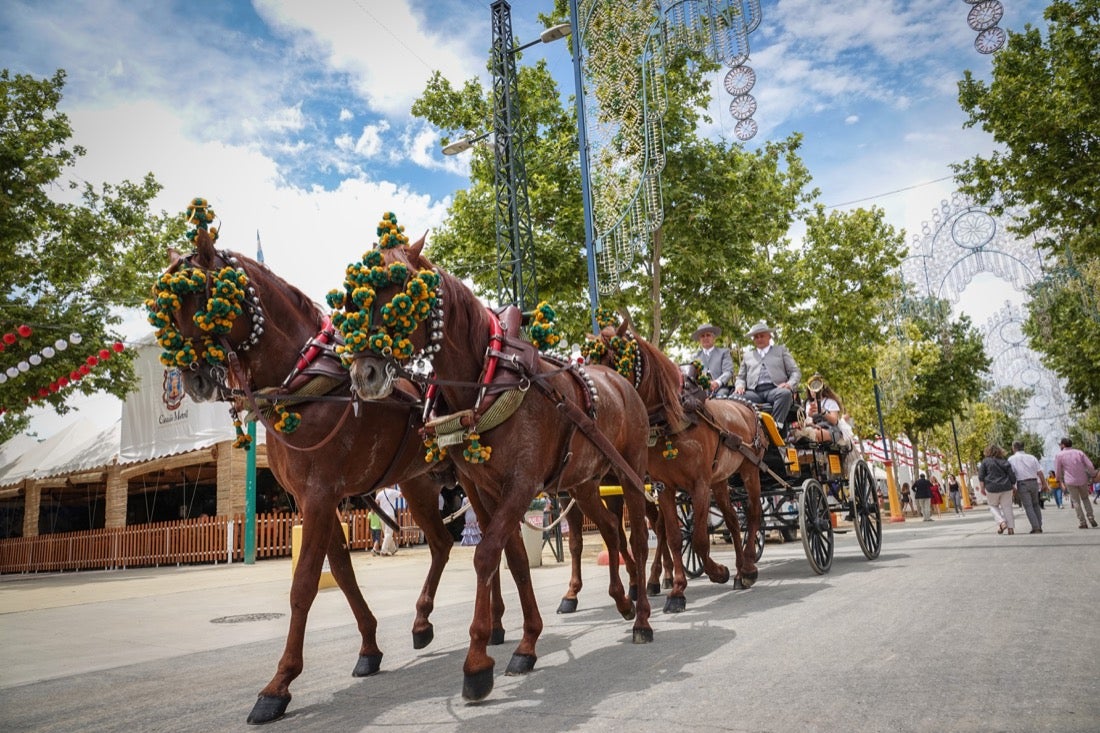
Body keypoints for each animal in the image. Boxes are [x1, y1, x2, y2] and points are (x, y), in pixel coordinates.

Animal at [150, 221, 503, 717]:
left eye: (200, 294)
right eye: (166, 307)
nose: (193, 379)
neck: (304, 383)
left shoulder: (320, 494)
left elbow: (303, 586)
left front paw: (278, 685)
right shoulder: (313, 498)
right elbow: (342, 572)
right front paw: (369, 648)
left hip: (470, 478)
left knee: (489, 537)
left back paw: (496, 625)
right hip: (416, 482)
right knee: (439, 543)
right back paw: (423, 622)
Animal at [343, 236, 651, 699]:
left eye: (402, 296)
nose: (365, 373)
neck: (487, 379)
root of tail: (620, 382)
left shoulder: (521, 484)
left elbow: (486, 556)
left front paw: (477, 662)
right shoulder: (481, 486)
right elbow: (516, 559)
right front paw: (526, 643)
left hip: (630, 473)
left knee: (641, 534)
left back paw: (644, 616)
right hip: (582, 484)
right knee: (613, 530)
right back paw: (622, 598)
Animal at [585, 323, 765, 607]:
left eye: (615, 361)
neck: (671, 422)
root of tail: (746, 406)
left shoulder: (699, 485)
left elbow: (700, 539)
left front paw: (718, 572)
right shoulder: (664, 487)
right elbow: (674, 536)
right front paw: (678, 590)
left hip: (750, 471)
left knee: (754, 513)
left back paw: (747, 568)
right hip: (720, 481)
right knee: (733, 521)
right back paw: (738, 571)